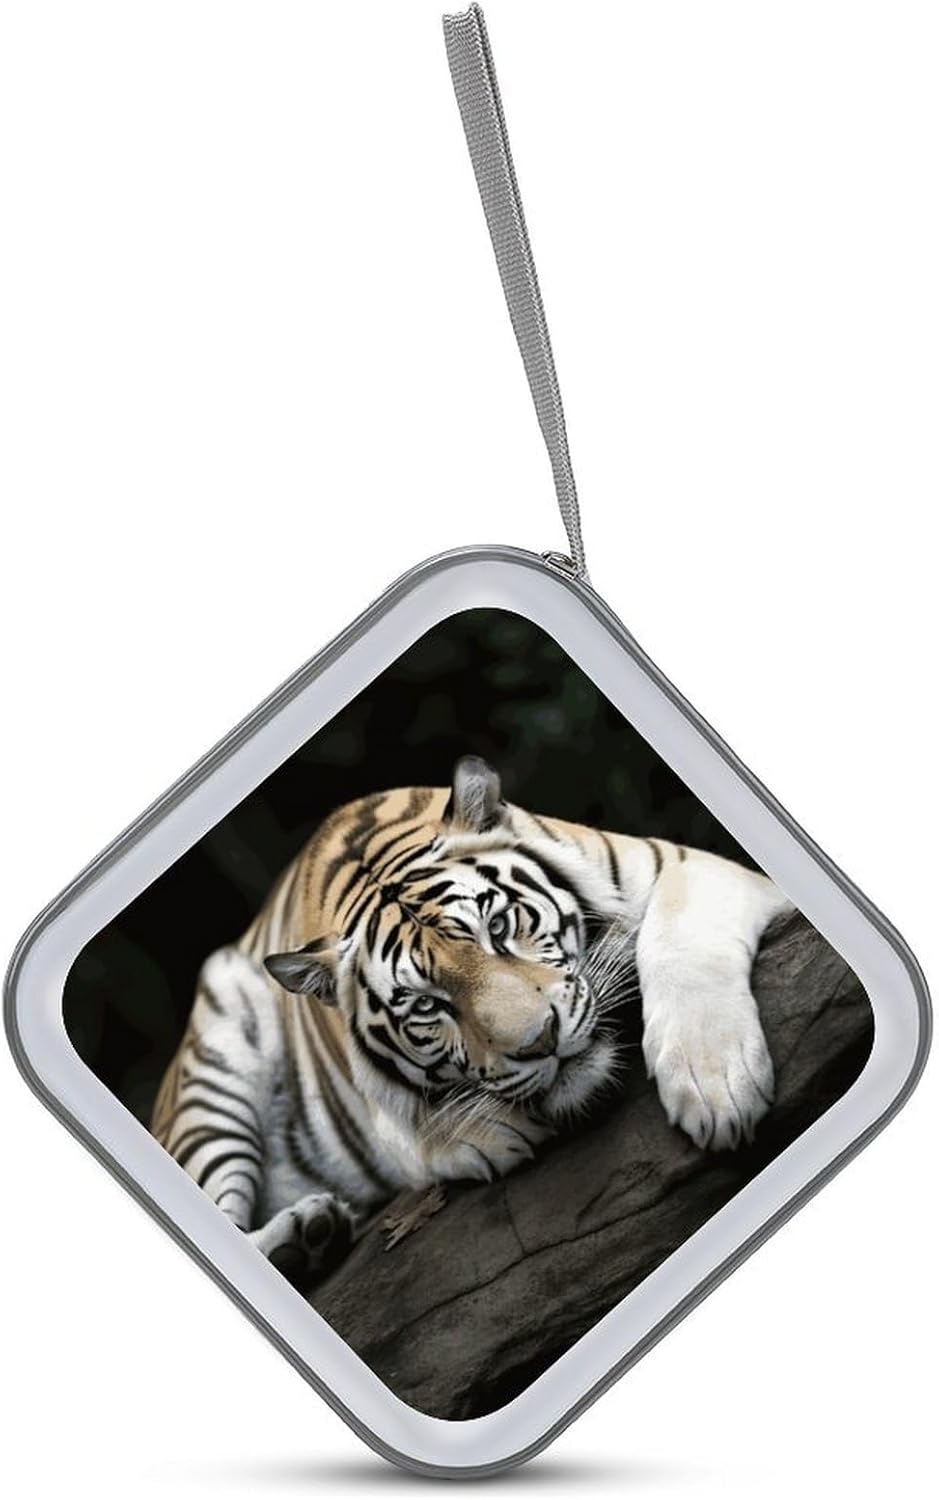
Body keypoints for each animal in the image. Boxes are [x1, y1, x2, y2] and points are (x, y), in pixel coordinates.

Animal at [152, 755, 791, 1285]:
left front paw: (716, 1088)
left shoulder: (690, 867)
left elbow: (681, 935)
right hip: (209, 1080)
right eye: (427, 1005)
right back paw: (305, 1238)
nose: (541, 1041)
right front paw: (483, 1131)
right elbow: (400, 1118)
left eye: (500, 927)